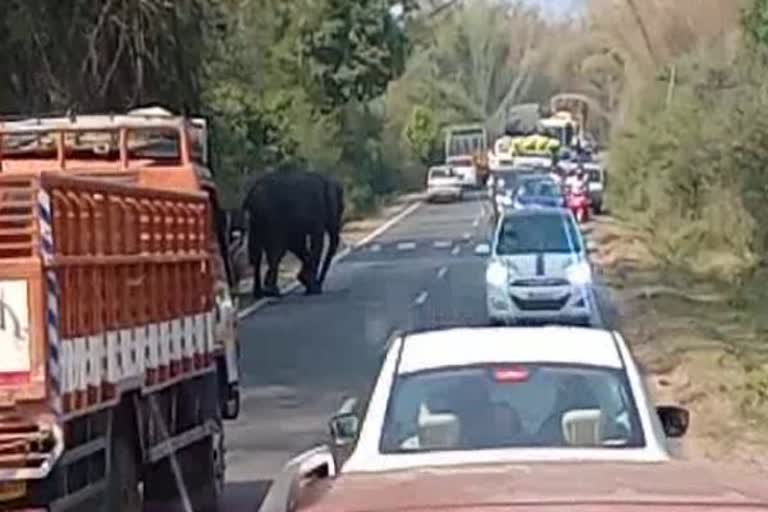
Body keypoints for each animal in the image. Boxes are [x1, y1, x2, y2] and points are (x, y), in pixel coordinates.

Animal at [243, 166, 344, 298]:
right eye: (341, 209)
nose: (320, 285)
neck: (327, 181)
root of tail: (251, 192)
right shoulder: (317, 211)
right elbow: (316, 242)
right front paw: (311, 286)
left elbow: (296, 244)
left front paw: (306, 281)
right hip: (271, 217)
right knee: (275, 250)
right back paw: (272, 291)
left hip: (255, 220)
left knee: (257, 252)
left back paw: (260, 292)